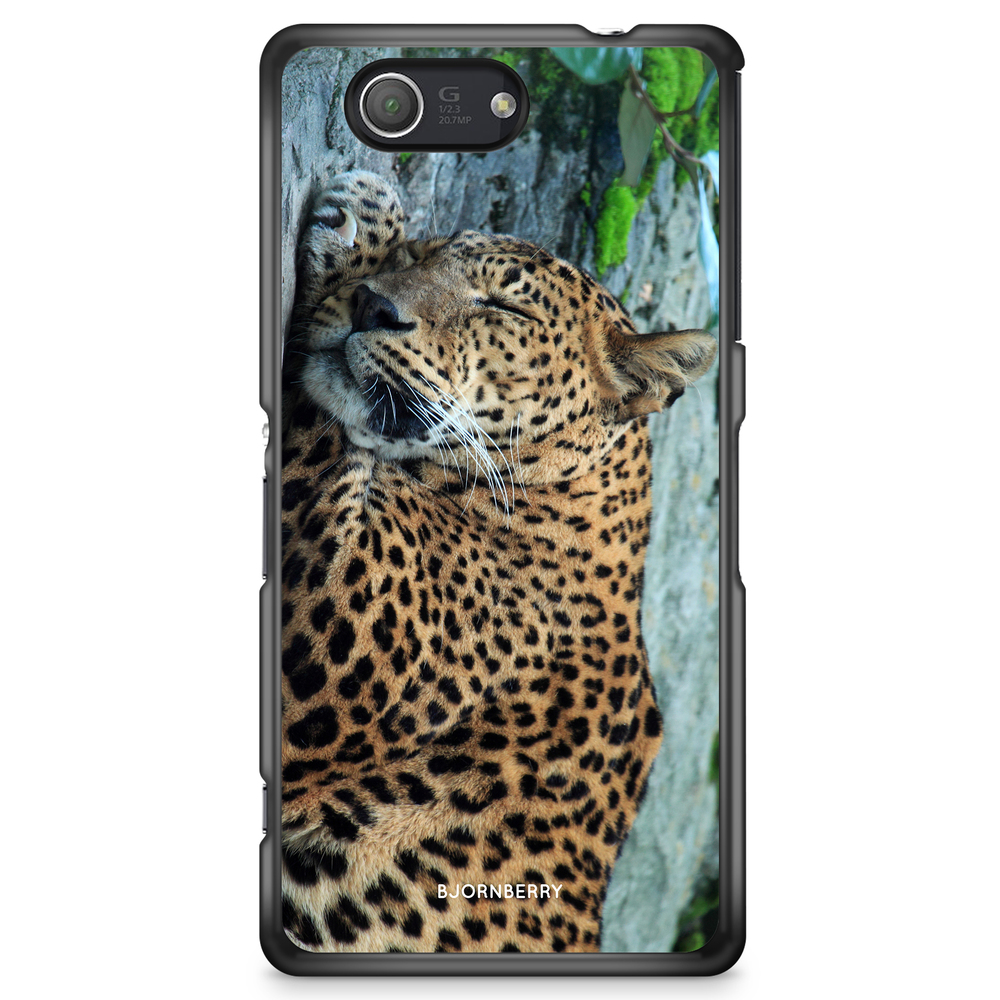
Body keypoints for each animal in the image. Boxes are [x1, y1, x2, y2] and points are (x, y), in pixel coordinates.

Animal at [279, 170, 717, 954]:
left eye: (503, 306)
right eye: (426, 254)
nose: (373, 306)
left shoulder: (333, 617)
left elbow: (325, 428)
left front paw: (363, 215)